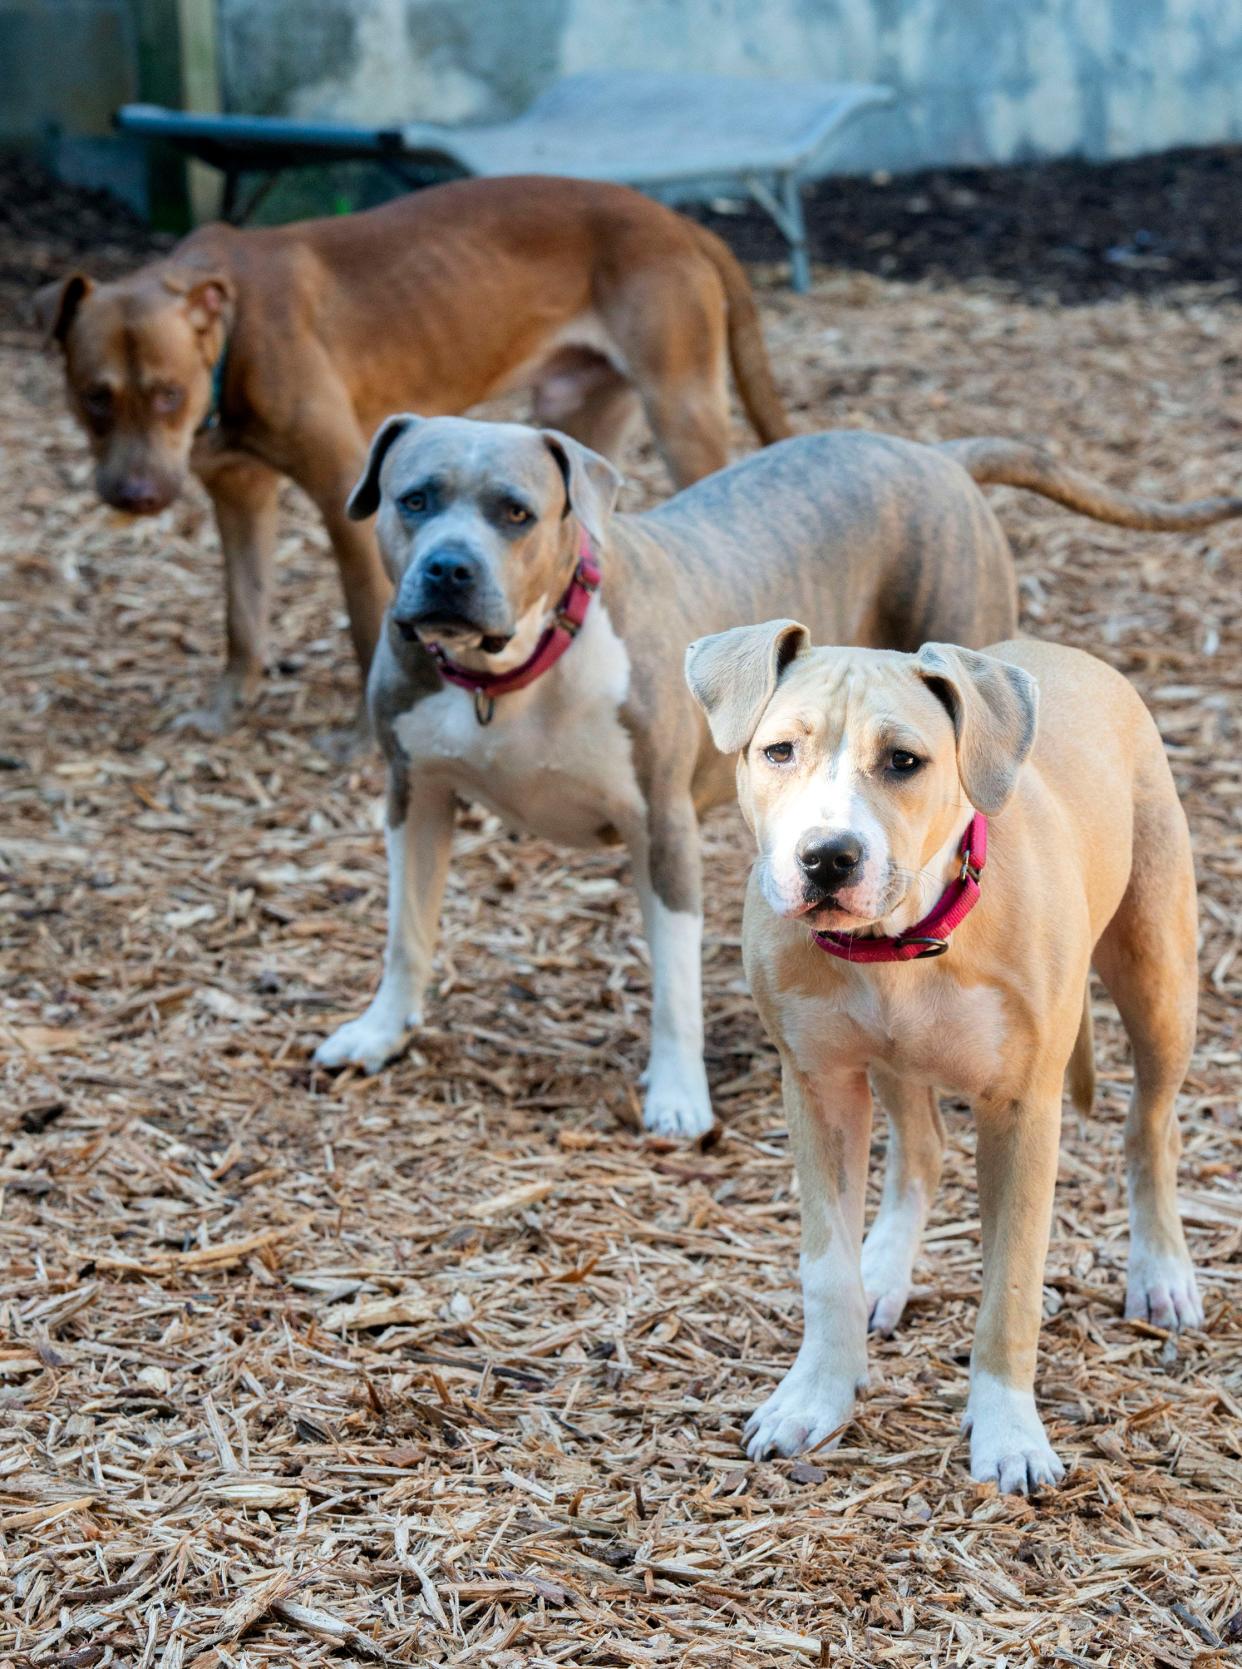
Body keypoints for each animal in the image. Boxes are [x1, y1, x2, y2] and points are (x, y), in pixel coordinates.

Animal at [41, 174, 784, 737]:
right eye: (93, 396)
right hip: (577, 419)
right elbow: (242, 616)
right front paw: (224, 709)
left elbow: (364, 627)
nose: (136, 497)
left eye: (168, 393)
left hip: (682, 411)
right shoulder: (239, 495)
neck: (234, 332)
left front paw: (359, 741)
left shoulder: (343, 496)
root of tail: (678, 221)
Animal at [315, 415, 1235, 1134]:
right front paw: (381, 1028)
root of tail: (932, 452)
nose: (448, 569)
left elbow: (674, 976)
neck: (508, 680)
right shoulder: (414, 795)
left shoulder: (663, 825)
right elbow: (407, 925)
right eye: (414, 499)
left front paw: (678, 1093)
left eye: (516, 513)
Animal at [687, 624, 1201, 1488]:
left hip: (1158, 978)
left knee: (1150, 1129)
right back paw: (885, 1267)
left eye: (904, 760)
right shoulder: (819, 1085)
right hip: (894, 1063)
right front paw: (815, 1395)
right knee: (921, 1149)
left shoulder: (1023, 1110)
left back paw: (1161, 1273)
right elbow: (825, 1266)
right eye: (779, 750)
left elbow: (1013, 1284)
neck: (899, 940)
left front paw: (1010, 1434)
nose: (827, 856)